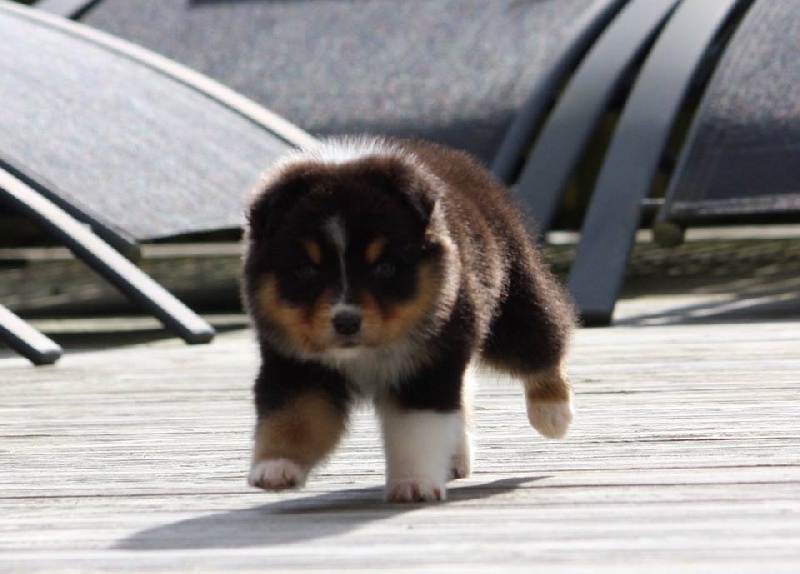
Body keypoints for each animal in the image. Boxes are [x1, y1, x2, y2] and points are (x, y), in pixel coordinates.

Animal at [242, 136, 576, 502]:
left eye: (384, 268)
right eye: (305, 270)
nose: (346, 321)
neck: (364, 353)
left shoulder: (426, 364)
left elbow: (416, 431)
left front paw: (413, 484)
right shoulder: (296, 367)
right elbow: (294, 417)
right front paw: (275, 467)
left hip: (513, 306)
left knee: (544, 343)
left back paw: (553, 414)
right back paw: (457, 458)